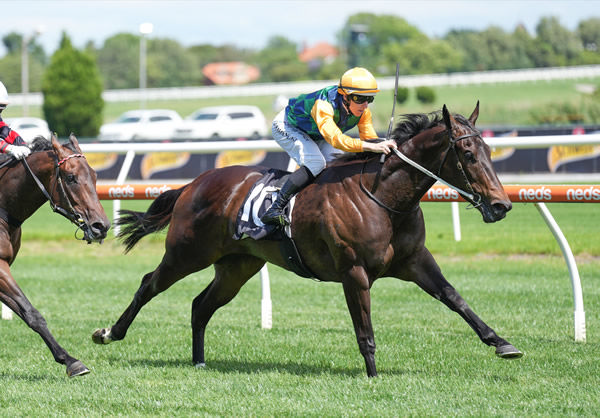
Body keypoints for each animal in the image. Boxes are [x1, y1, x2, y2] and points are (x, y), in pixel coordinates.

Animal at [0, 136, 110, 378]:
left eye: (95, 176)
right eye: (71, 177)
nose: (101, 226)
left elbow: (27, 312)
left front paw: (70, 360)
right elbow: (32, 313)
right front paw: (71, 361)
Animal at [92, 103, 520, 378]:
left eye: (489, 149)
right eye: (468, 153)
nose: (501, 205)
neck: (383, 197)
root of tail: (194, 184)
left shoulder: (415, 260)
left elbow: (454, 298)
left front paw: (501, 343)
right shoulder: (353, 271)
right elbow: (364, 328)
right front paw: (372, 375)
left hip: (237, 266)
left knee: (201, 305)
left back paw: (199, 361)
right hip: (186, 253)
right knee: (149, 284)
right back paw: (109, 333)